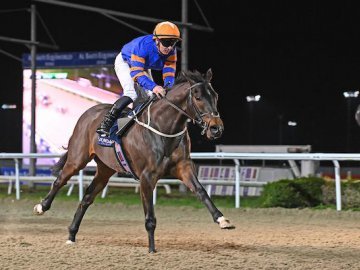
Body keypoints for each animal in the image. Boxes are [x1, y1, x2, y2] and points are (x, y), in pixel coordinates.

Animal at [33, 68, 236, 253]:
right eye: (198, 97)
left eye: (215, 96)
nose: (216, 128)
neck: (164, 128)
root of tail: (88, 113)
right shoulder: (147, 177)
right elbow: (150, 216)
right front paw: (152, 249)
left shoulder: (183, 168)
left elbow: (201, 191)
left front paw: (222, 219)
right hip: (78, 158)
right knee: (60, 180)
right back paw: (41, 206)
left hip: (105, 169)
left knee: (87, 198)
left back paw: (71, 234)